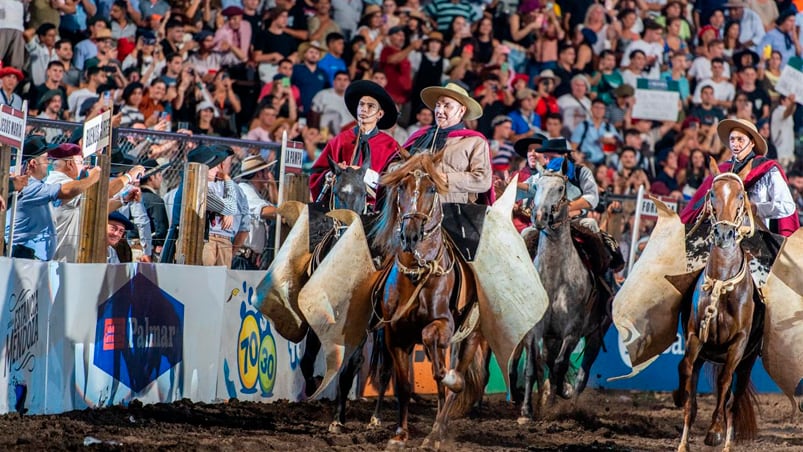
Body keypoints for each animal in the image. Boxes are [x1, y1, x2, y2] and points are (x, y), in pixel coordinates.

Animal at [370, 154, 490, 450]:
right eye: (401, 186)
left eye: (432, 189)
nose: (411, 235)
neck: (417, 275)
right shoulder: (395, 336)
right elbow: (403, 385)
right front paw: (400, 434)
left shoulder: (443, 325)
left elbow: (440, 363)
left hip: (471, 337)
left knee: (454, 382)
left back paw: (437, 431)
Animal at [512, 158, 612, 420]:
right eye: (536, 186)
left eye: (559, 189)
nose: (539, 215)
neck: (556, 278)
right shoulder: (536, 329)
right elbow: (532, 366)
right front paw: (527, 410)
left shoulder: (572, 331)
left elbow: (560, 365)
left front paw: (554, 401)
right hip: (552, 336)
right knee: (548, 360)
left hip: (595, 335)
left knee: (582, 374)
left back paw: (571, 403)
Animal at [676, 162, 764, 452]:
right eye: (712, 194)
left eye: (740, 196)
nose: (724, 234)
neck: (722, 284)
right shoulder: (695, 336)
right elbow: (685, 369)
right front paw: (680, 400)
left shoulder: (738, 344)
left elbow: (725, 383)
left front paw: (714, 431)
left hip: (748, 361)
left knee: (733, 401)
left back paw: (725, 439)